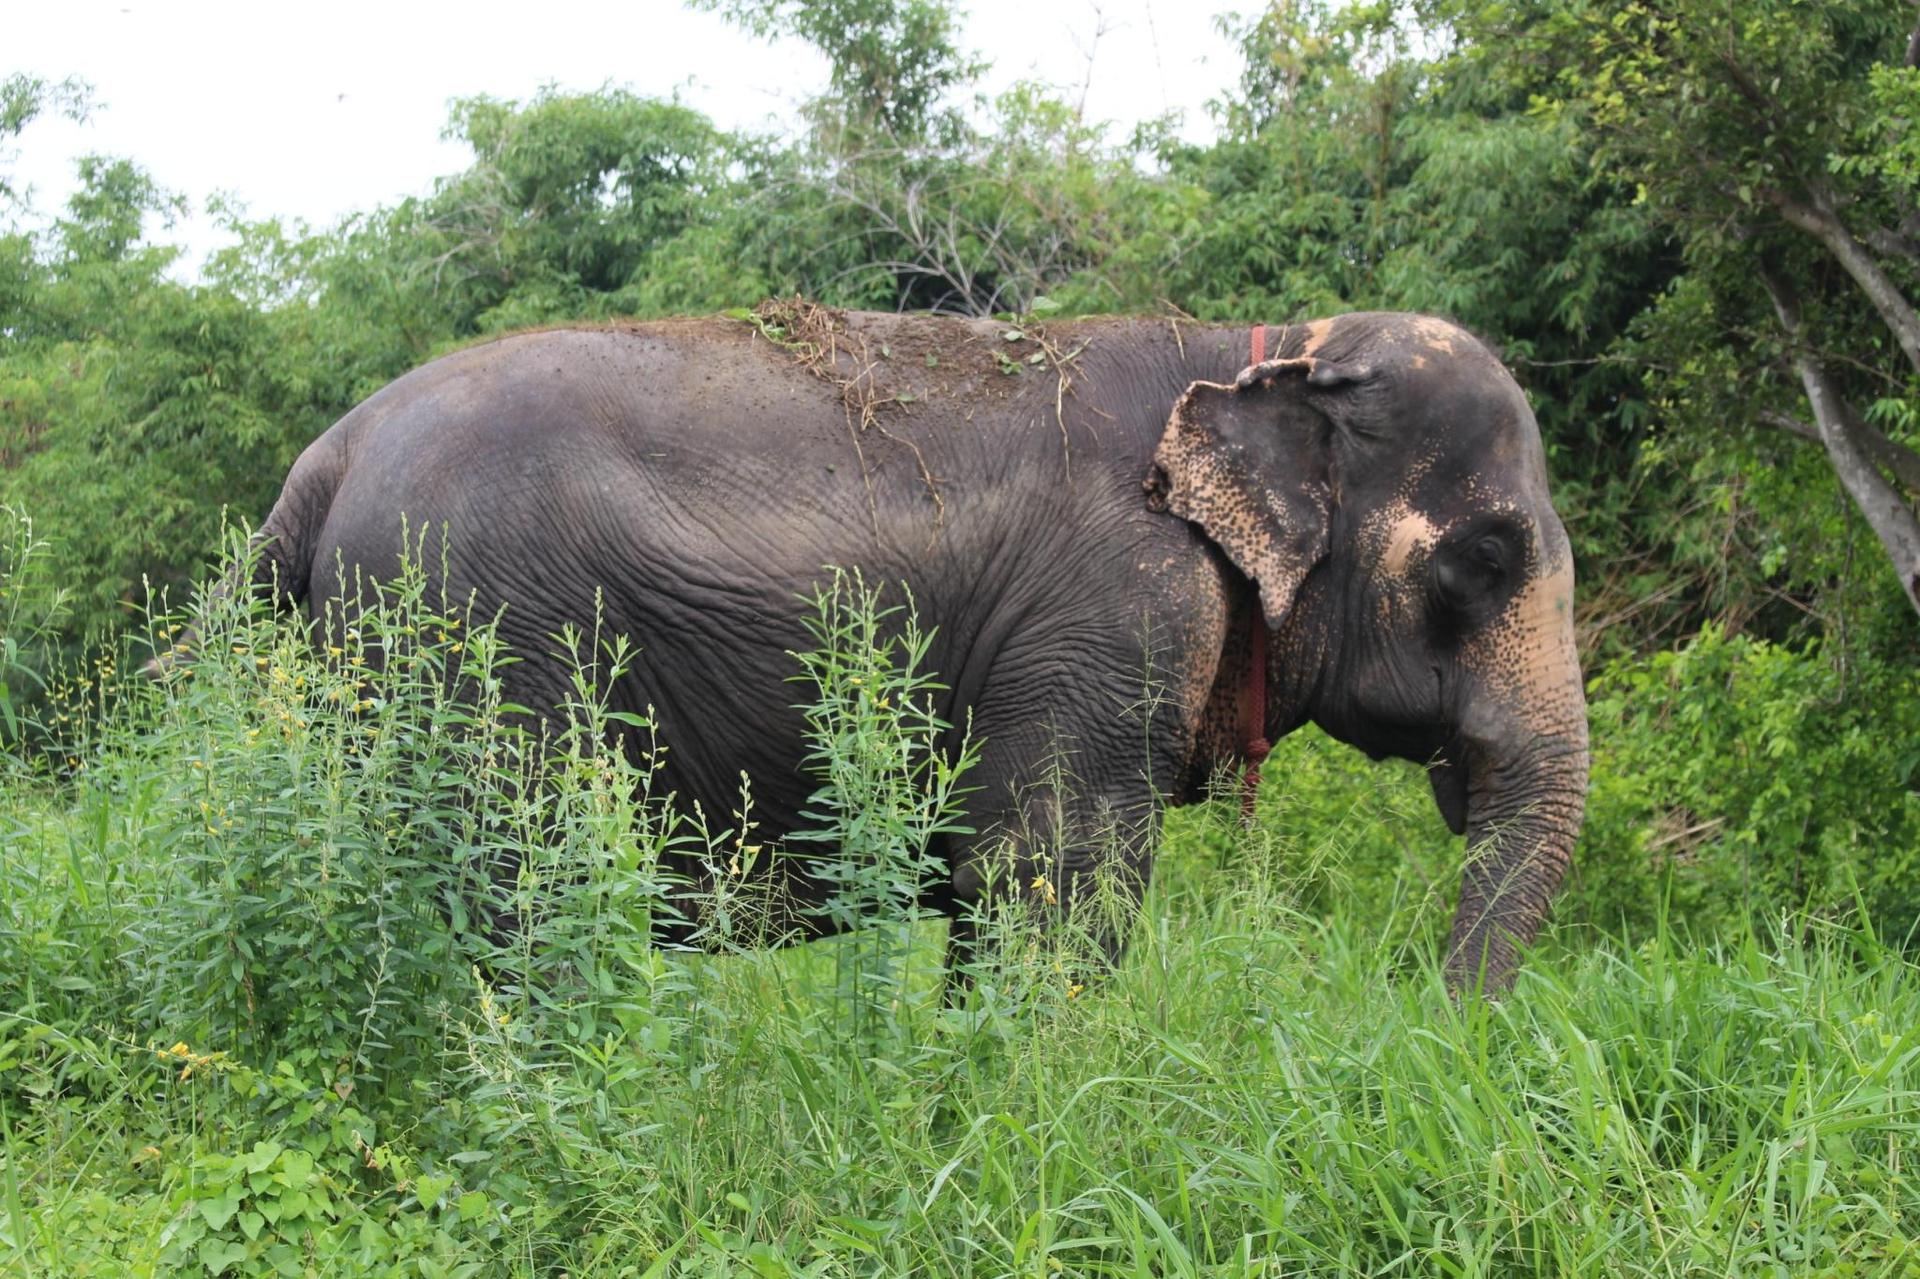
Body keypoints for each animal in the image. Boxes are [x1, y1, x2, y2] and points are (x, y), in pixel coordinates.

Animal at [236, 303, 1589, 992]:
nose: (1422, 1024)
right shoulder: (1120, 603)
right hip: (479, 640)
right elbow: (1051, 880)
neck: (1260, 357)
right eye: (1485, 560)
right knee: (534, 893)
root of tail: (322, 461)